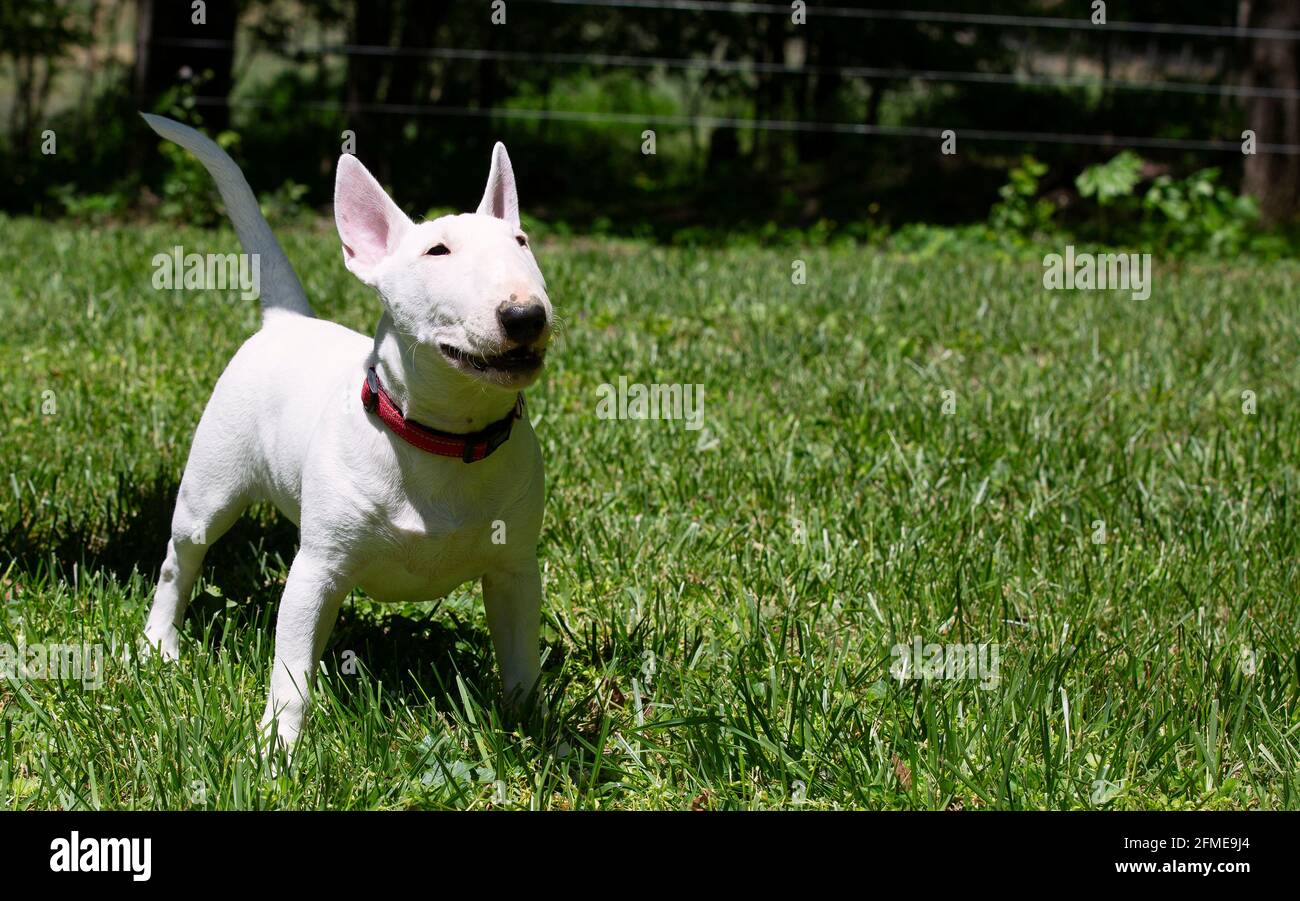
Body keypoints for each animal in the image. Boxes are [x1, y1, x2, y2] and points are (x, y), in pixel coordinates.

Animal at [138, 115, 553, 748]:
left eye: (522, 243)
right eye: (437, 250)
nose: (527, 316)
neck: (443, 437)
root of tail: (287, 320)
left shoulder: (516, 571)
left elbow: (522, 661)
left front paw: (538, 730)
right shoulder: (317, 569)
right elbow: (291, 671)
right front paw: (277, 748)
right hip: (210, 487)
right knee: (179, 558)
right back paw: (158, 644)